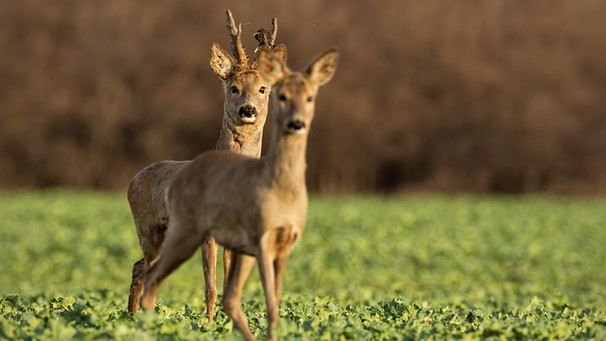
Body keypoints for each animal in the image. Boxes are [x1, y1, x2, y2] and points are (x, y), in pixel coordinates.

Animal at [127, 10, 288, 318]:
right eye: (234, 88)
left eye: (263, 88)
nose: (247, 109)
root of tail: (133, 178)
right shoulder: (207, 231)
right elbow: (210, 287)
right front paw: (209, 322)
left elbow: (228, 285)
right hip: (148, 227)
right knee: (143, 269)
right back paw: (138, 318)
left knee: (142, 268)